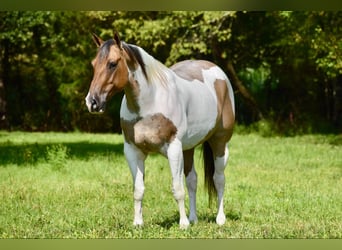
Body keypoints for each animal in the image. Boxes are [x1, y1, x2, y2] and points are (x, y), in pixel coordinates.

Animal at [85, 33, 235, 229]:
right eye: (94, 64)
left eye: (112, 63)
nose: (92, 102)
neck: (149, 104)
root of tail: (219, 73)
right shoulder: (133, 151)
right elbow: (138, 189)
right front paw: (138, 223)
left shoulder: (173, 148)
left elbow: (177, 188)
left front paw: (183, 224)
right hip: (188, 148)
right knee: (192, 180)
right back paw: (193, 218)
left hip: (219, 143)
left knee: (219, 179)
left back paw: (220, 219)